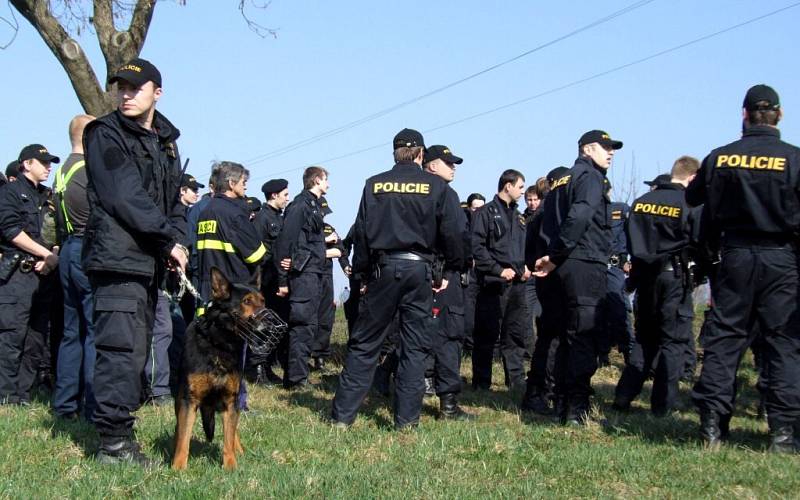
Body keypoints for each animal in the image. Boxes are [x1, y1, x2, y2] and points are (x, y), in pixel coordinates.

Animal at [173, 268, 264, 470]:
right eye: (247, 301)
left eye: (263, 301)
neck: (220, 344)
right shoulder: (189, 400)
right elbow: (184, 437)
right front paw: (178, 467)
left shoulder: (230, 401)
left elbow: (228, 437)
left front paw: (230, 466)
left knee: (232, 430)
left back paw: (239, 449)